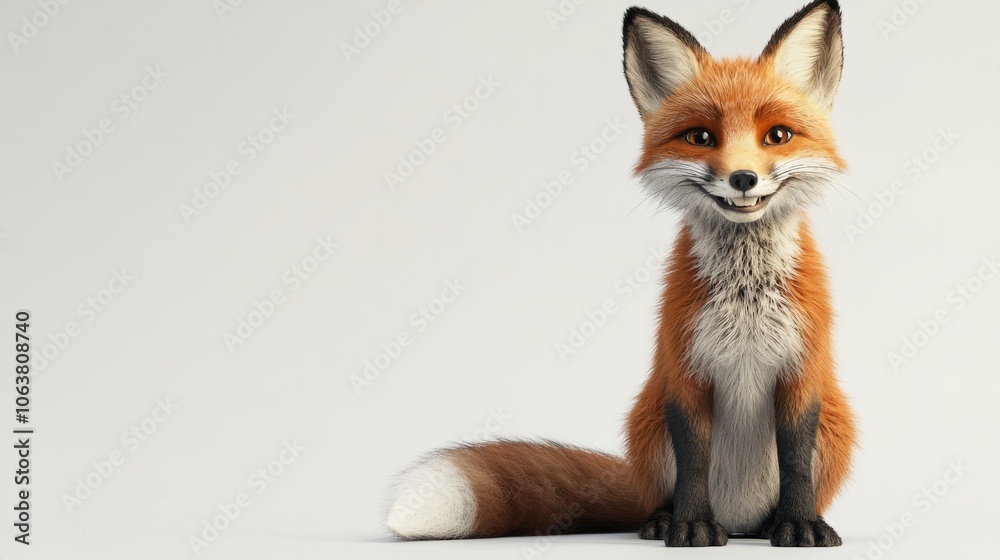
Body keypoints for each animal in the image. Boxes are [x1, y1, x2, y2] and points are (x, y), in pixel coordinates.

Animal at [385, 0, 856, 548]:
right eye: (700, 137)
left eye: (777, 135)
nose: (743, 178)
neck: (745, 299)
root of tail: (738, 519)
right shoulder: (683, 369)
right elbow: (694, 462)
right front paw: (690, 525)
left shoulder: (802, 371)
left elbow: (796, 462)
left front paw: (799, 525)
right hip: (648, 427)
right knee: (661, 496)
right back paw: (664, 520)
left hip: (835, 429)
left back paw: (774, 523)